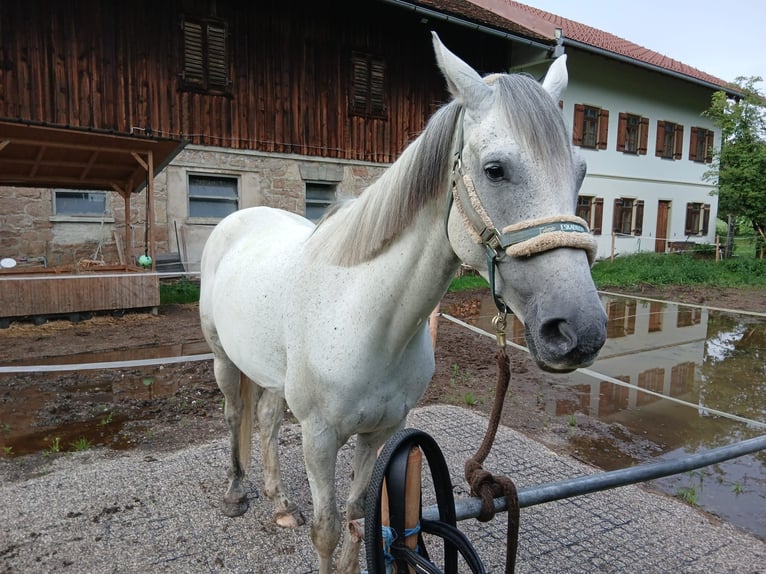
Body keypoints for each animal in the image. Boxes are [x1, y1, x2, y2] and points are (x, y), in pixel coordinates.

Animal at [199, 32, 608, 573]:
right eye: (494, 170)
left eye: (580, 172)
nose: (579, 331)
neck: (364, 319)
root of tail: (238, 220)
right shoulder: (319, 437)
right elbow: (328, 529)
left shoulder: (381, 433)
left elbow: (359, 516)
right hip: (224, 360)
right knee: (233, 417)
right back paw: (236, 494)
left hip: (269, 373)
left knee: (264, 419)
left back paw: (280, 502)